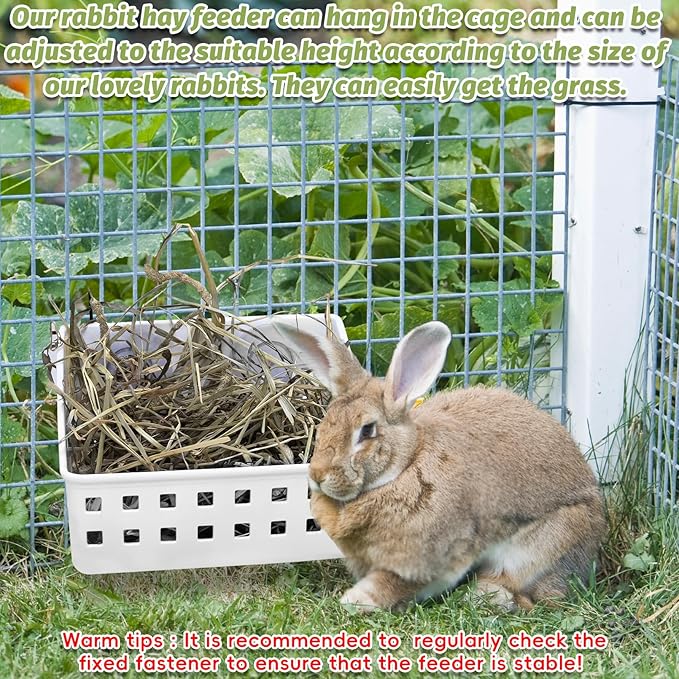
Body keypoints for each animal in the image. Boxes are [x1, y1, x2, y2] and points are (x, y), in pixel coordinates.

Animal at [274, 320, 607, 613]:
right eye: (326, 423)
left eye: (367, 431)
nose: (318, 475)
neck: (405, 466)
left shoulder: (430, 558)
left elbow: (394, 583)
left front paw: (357, 600)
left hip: (541, 547)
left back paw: (485, 596)